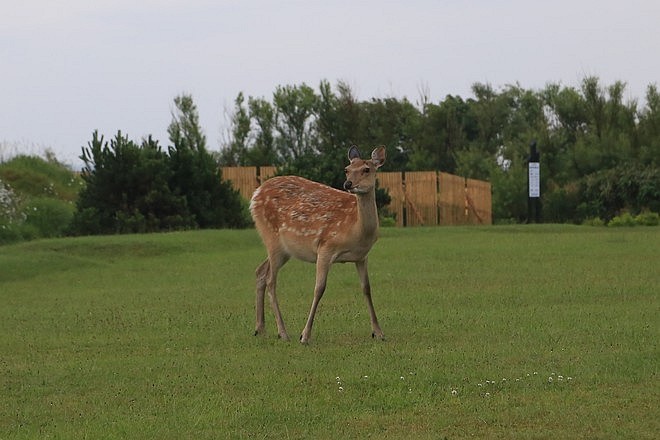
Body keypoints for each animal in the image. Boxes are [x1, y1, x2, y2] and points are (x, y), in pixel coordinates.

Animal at [251, 145, 386, 344]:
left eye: (367, 169)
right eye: (347, 169)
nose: (348, 184)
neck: (356, 229)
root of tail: (255, 195)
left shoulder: (362, 257)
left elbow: (366, 288)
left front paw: (378, 332)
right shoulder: (325, 247)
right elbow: (319, 289)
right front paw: (305, 335)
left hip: (283, 250)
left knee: (260, 271)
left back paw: (260, 329)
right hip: (271, 237)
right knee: (270, 280)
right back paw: (283, 332)